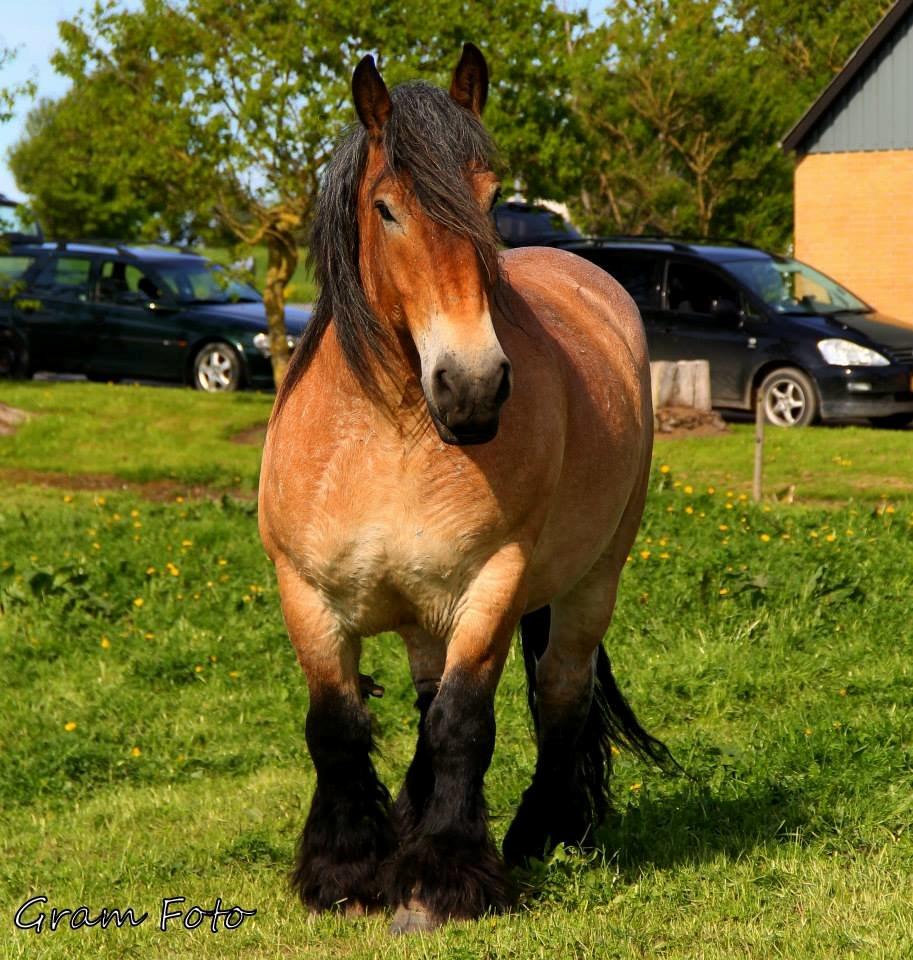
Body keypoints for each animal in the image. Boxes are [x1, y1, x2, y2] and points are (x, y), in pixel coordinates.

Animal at [256, 43, 668, 928]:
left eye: (487, 197)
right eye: (386, 209)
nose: (472, 388)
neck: (387, 435)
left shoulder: (492, 583)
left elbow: (462, 724)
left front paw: (441, 878)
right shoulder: (304, 593)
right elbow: (336, 726)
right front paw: (346, 870)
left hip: (590, 582)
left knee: (561, 695)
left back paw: (544, 833)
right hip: (423, 612)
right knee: (426, 698)